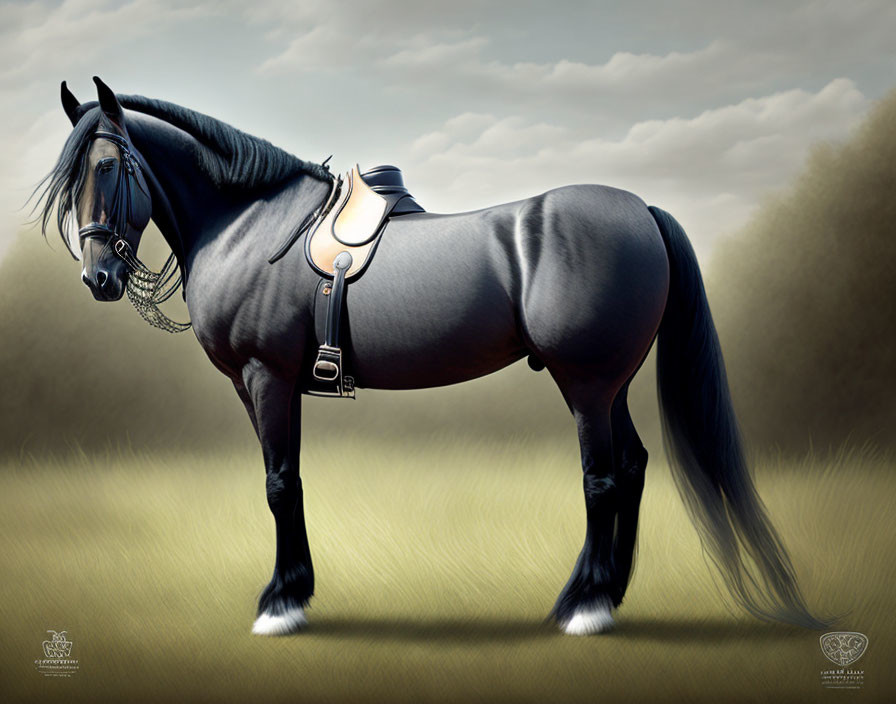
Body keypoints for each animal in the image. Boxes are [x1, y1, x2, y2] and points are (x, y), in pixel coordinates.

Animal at [36, 78, 824, 640]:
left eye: (109, 165)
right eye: (72, 178)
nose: (99, 277)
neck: (247, 223)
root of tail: (643, 211)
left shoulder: (267, 381)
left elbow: (280, 484)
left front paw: (282, 603)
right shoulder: (256, 388)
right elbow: (285, 482)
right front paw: (295, 592)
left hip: (588, 384)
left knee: (602, 479)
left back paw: (587, 610)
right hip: (613, 385)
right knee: (629, 468)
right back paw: (594, 595)